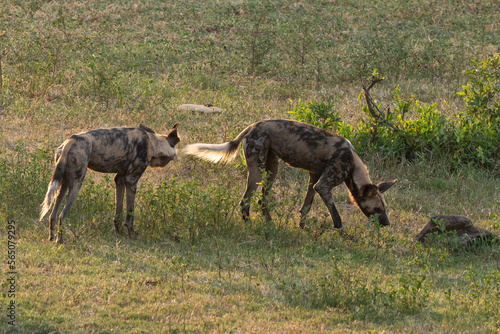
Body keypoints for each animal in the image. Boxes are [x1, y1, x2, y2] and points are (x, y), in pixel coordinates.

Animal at [39, 122, 180, 243]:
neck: (151, 142)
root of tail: (71, 140)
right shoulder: (131, 181)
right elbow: (130, 214)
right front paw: (132, 235)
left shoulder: (119, 179)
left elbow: (118, 212)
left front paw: (118, 232)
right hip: (76, 184)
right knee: (62, 215)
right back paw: (60, 240)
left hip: (63, 185)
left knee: (53, 214)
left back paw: (52, 237)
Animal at [186, 119, 396, 230]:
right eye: (377, 209)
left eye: (385, 208)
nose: (387, 224)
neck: (352, 163)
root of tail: (253, 125)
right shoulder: (323, 185)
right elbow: (337, 217)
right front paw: (345, 236)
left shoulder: (314, 178)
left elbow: (306, 207)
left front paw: (302, 229)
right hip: (258, 171)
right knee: (246, 200)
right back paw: (248, 225)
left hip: (272, 170)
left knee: (262, 200)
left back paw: (270, 225)